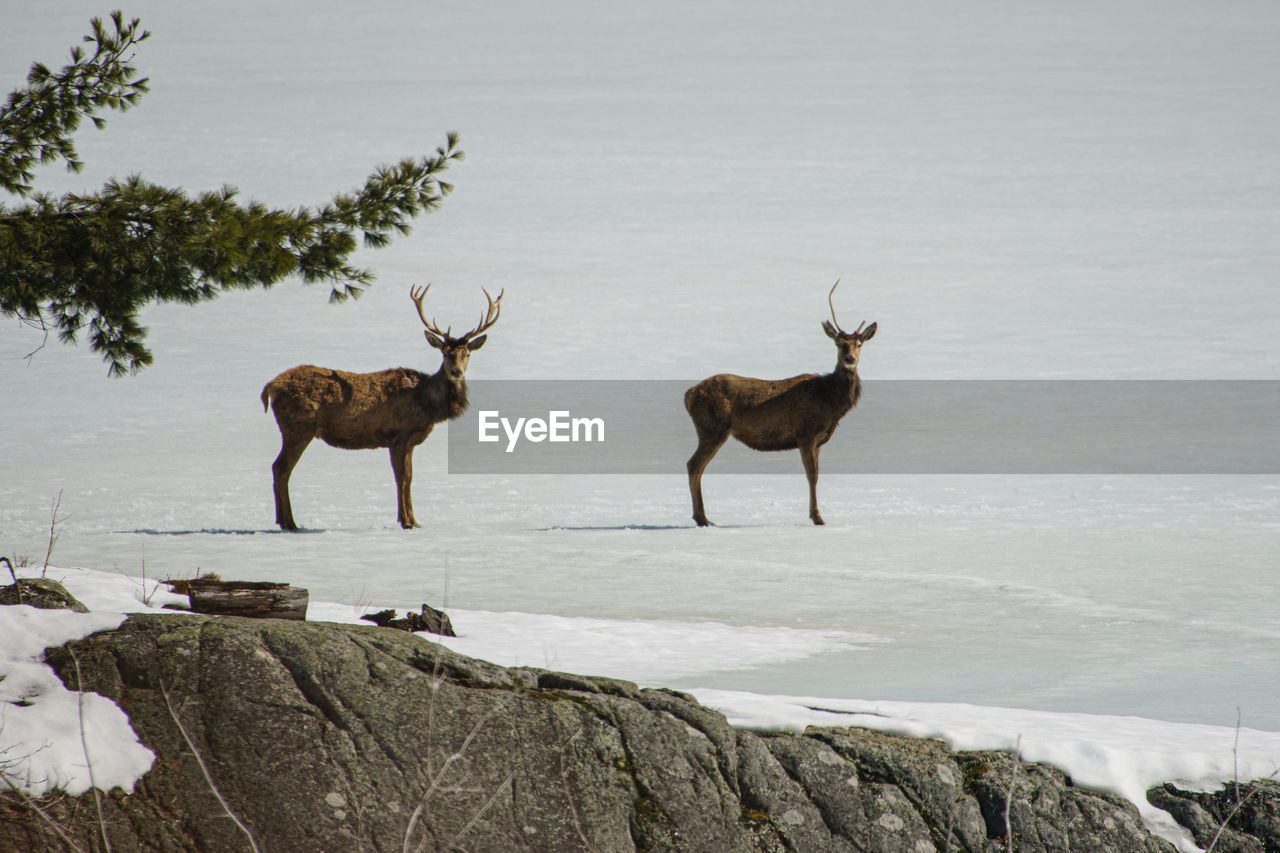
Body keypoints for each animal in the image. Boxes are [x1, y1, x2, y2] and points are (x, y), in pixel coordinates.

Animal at [258, 281, 499, 527]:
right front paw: (406, 521)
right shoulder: (398, 435)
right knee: (281, 468)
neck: (426, 404)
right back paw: (289, 523)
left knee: (279, 468)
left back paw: (282, 521)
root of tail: (269, 387)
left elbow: (408, 477)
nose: (456, 372)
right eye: (444, 353)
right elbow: (402, 477)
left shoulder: (408, 441)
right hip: (298, 426)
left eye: (467, 353)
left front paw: (413, 520)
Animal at [686, 281, 875, 525]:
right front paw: (817, 517)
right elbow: (812, 476)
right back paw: (702, 518)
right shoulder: (806, 433)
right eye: (838, 343)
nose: (849, 359)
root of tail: (688, 395)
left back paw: (702, 517)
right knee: (694, 465)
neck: (831, 402)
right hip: (712, 428)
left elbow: (816, 474)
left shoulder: (819, 441)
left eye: (859, 344)